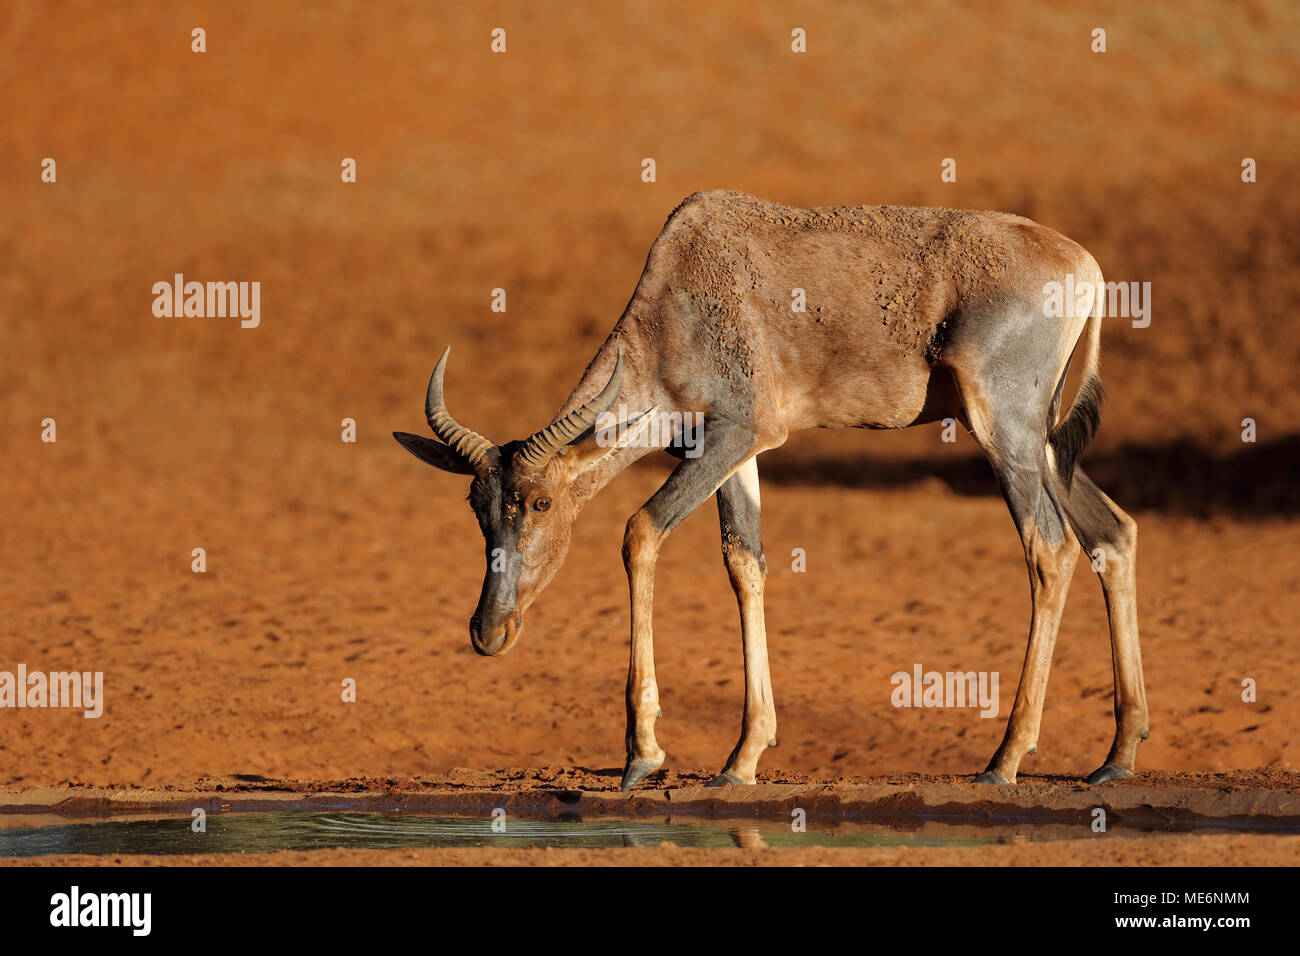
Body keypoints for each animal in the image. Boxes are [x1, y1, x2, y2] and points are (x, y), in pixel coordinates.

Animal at [392, 191, 1149, 790]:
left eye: (542, 502)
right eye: (478, 506)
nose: (489, 631)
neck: (687, 282)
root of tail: (1083, 266)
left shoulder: (735, 432)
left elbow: (641, 532)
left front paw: (643, 757)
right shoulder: (732, 451)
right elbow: (745, 563)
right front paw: (742, 758)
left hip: (1005, 427)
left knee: (1050, 548)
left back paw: (1005, 759)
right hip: (1044, 440)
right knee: (1112, 532)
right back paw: (1116, 755)